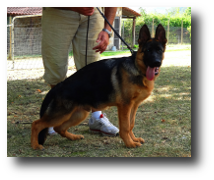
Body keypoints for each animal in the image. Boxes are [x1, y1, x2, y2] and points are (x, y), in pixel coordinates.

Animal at [30, 24, 166, 150]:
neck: (137, 68)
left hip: (79, 114)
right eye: (148, 51)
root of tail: (58, 86)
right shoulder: (125, 106)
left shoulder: (134, 106)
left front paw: (134, 139)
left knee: (59, 127)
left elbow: (131, 124)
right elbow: (125, 127)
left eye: (159, 50)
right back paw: (35, 145)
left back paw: (73, 137)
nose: (156, 63)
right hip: (61, 114)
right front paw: (129, 143)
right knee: (36, 124)